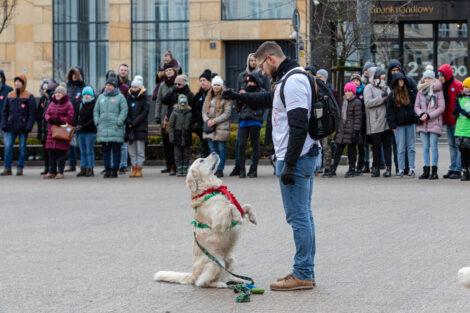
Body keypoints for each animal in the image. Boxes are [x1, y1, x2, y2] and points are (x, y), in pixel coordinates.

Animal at [153, 152, 258, 286]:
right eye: (201, 160)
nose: (214, 152)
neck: (210, 190)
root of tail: (193, 275)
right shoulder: (218, 222)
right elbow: (231, 206)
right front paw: (238, 217)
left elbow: (246, 206)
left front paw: (253, 217)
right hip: (215, 262)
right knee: (204, 282)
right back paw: (221, 284)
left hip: (231, 259)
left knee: (226, 276)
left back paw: (239, 280)